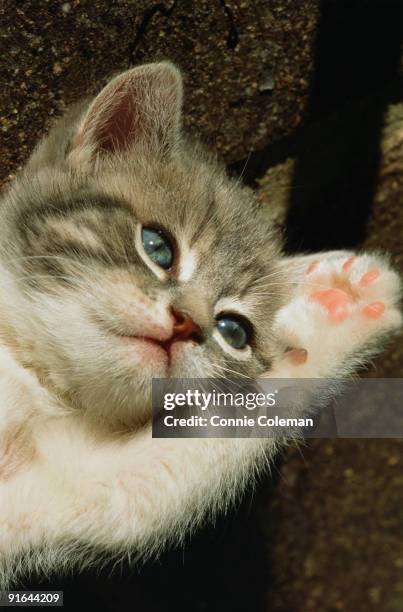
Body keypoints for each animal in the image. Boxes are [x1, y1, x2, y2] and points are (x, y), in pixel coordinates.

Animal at [0, 63, 400, 588]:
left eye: (233, 331)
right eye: (157, 246)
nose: (186, 324)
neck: (30, 376)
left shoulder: (50, 495)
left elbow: (156, 482)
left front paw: (335, 310)